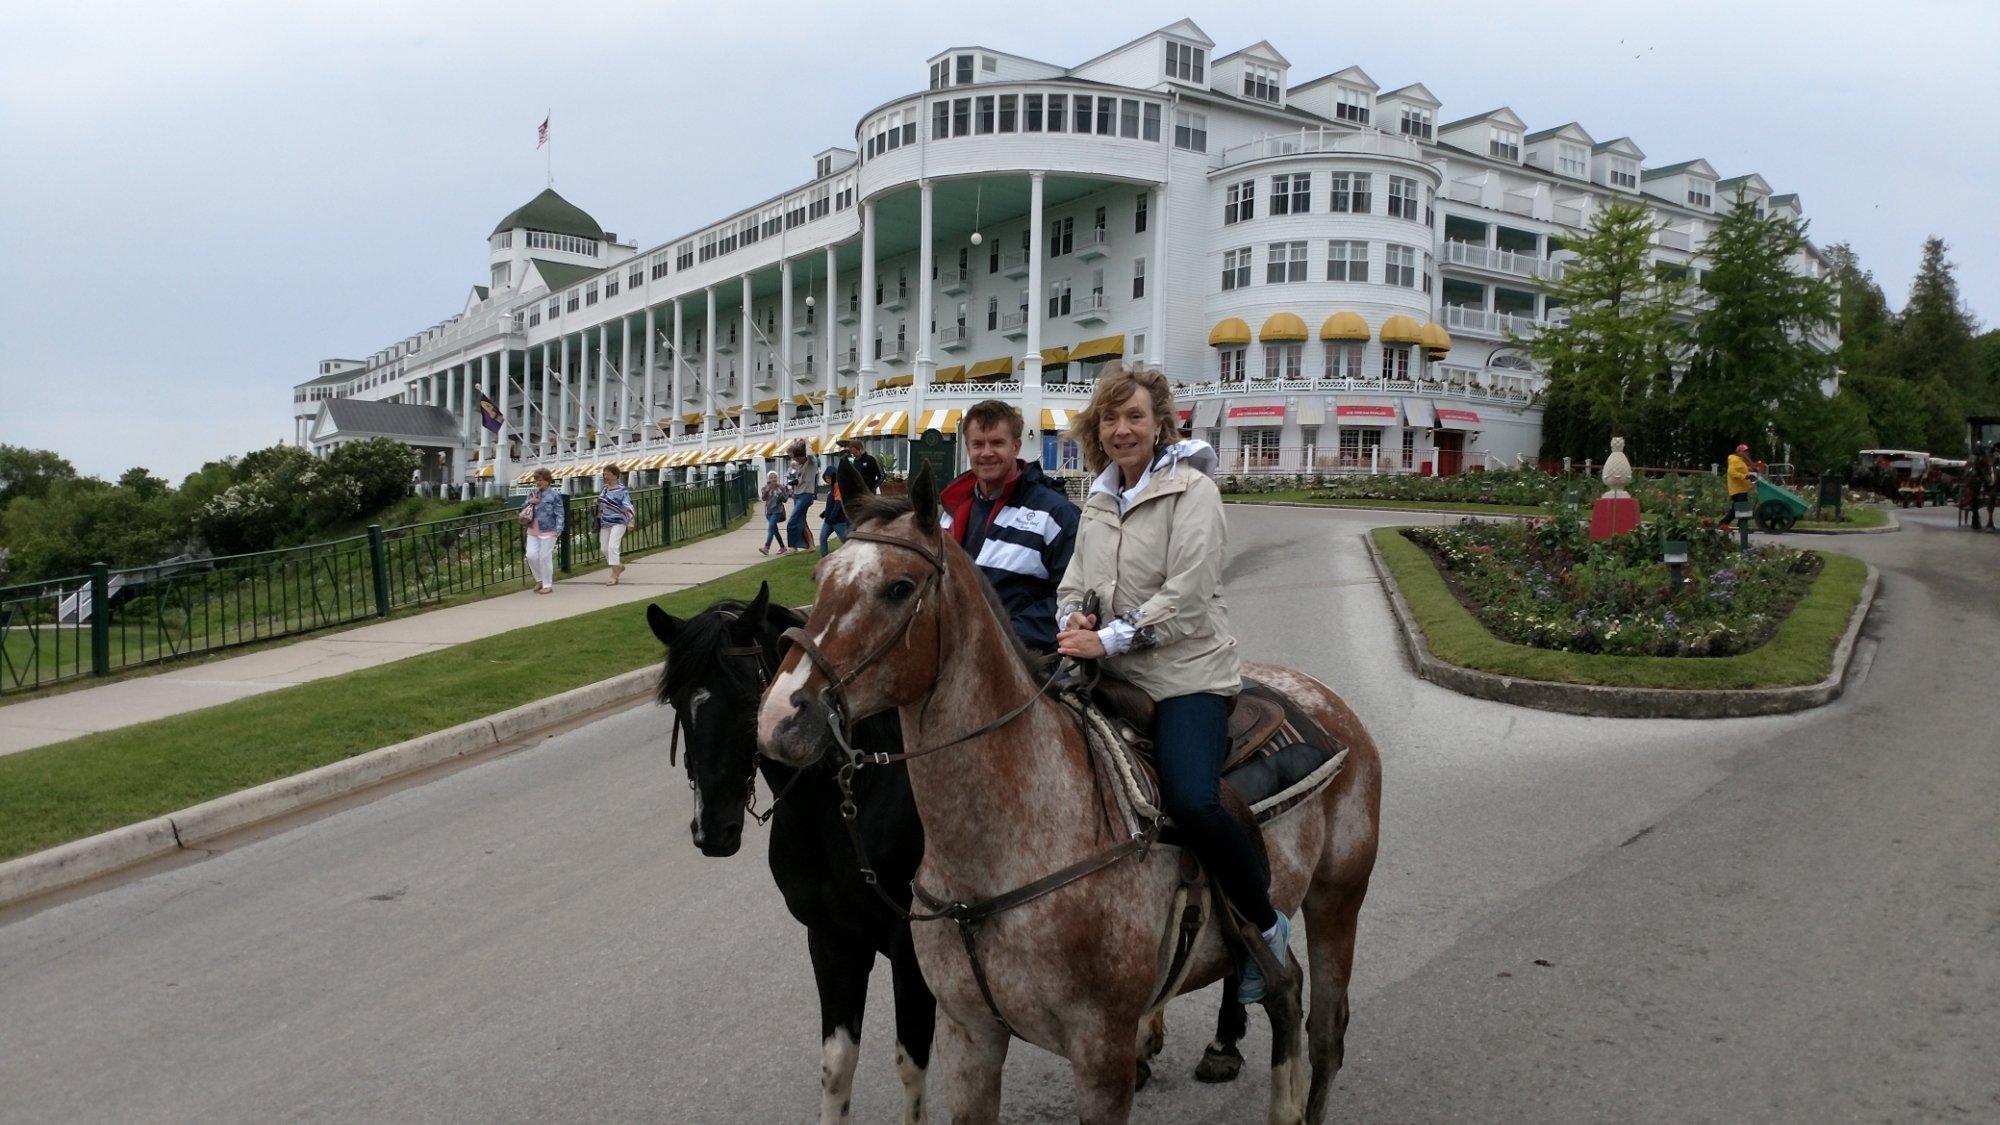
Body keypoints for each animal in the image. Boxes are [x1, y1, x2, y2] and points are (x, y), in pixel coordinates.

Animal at [652, 580, 1248, 1112]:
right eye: (679, 701)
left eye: (745, 694)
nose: (712, 831)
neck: (848, 809)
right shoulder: (830, 939)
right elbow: (837, 1067)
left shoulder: (909, 952)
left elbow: (910, 1060)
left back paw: (1224, 1042)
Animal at [756, 464, 1384, 1120]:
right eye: (820, 578)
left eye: (899, 588)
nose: (780, 718)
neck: (1006, 855)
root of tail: (1323, 699)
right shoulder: (968, 1036)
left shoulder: (1101, 1054)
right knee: (1285, 988)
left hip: (1337, 900)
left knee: (1324, 1028)